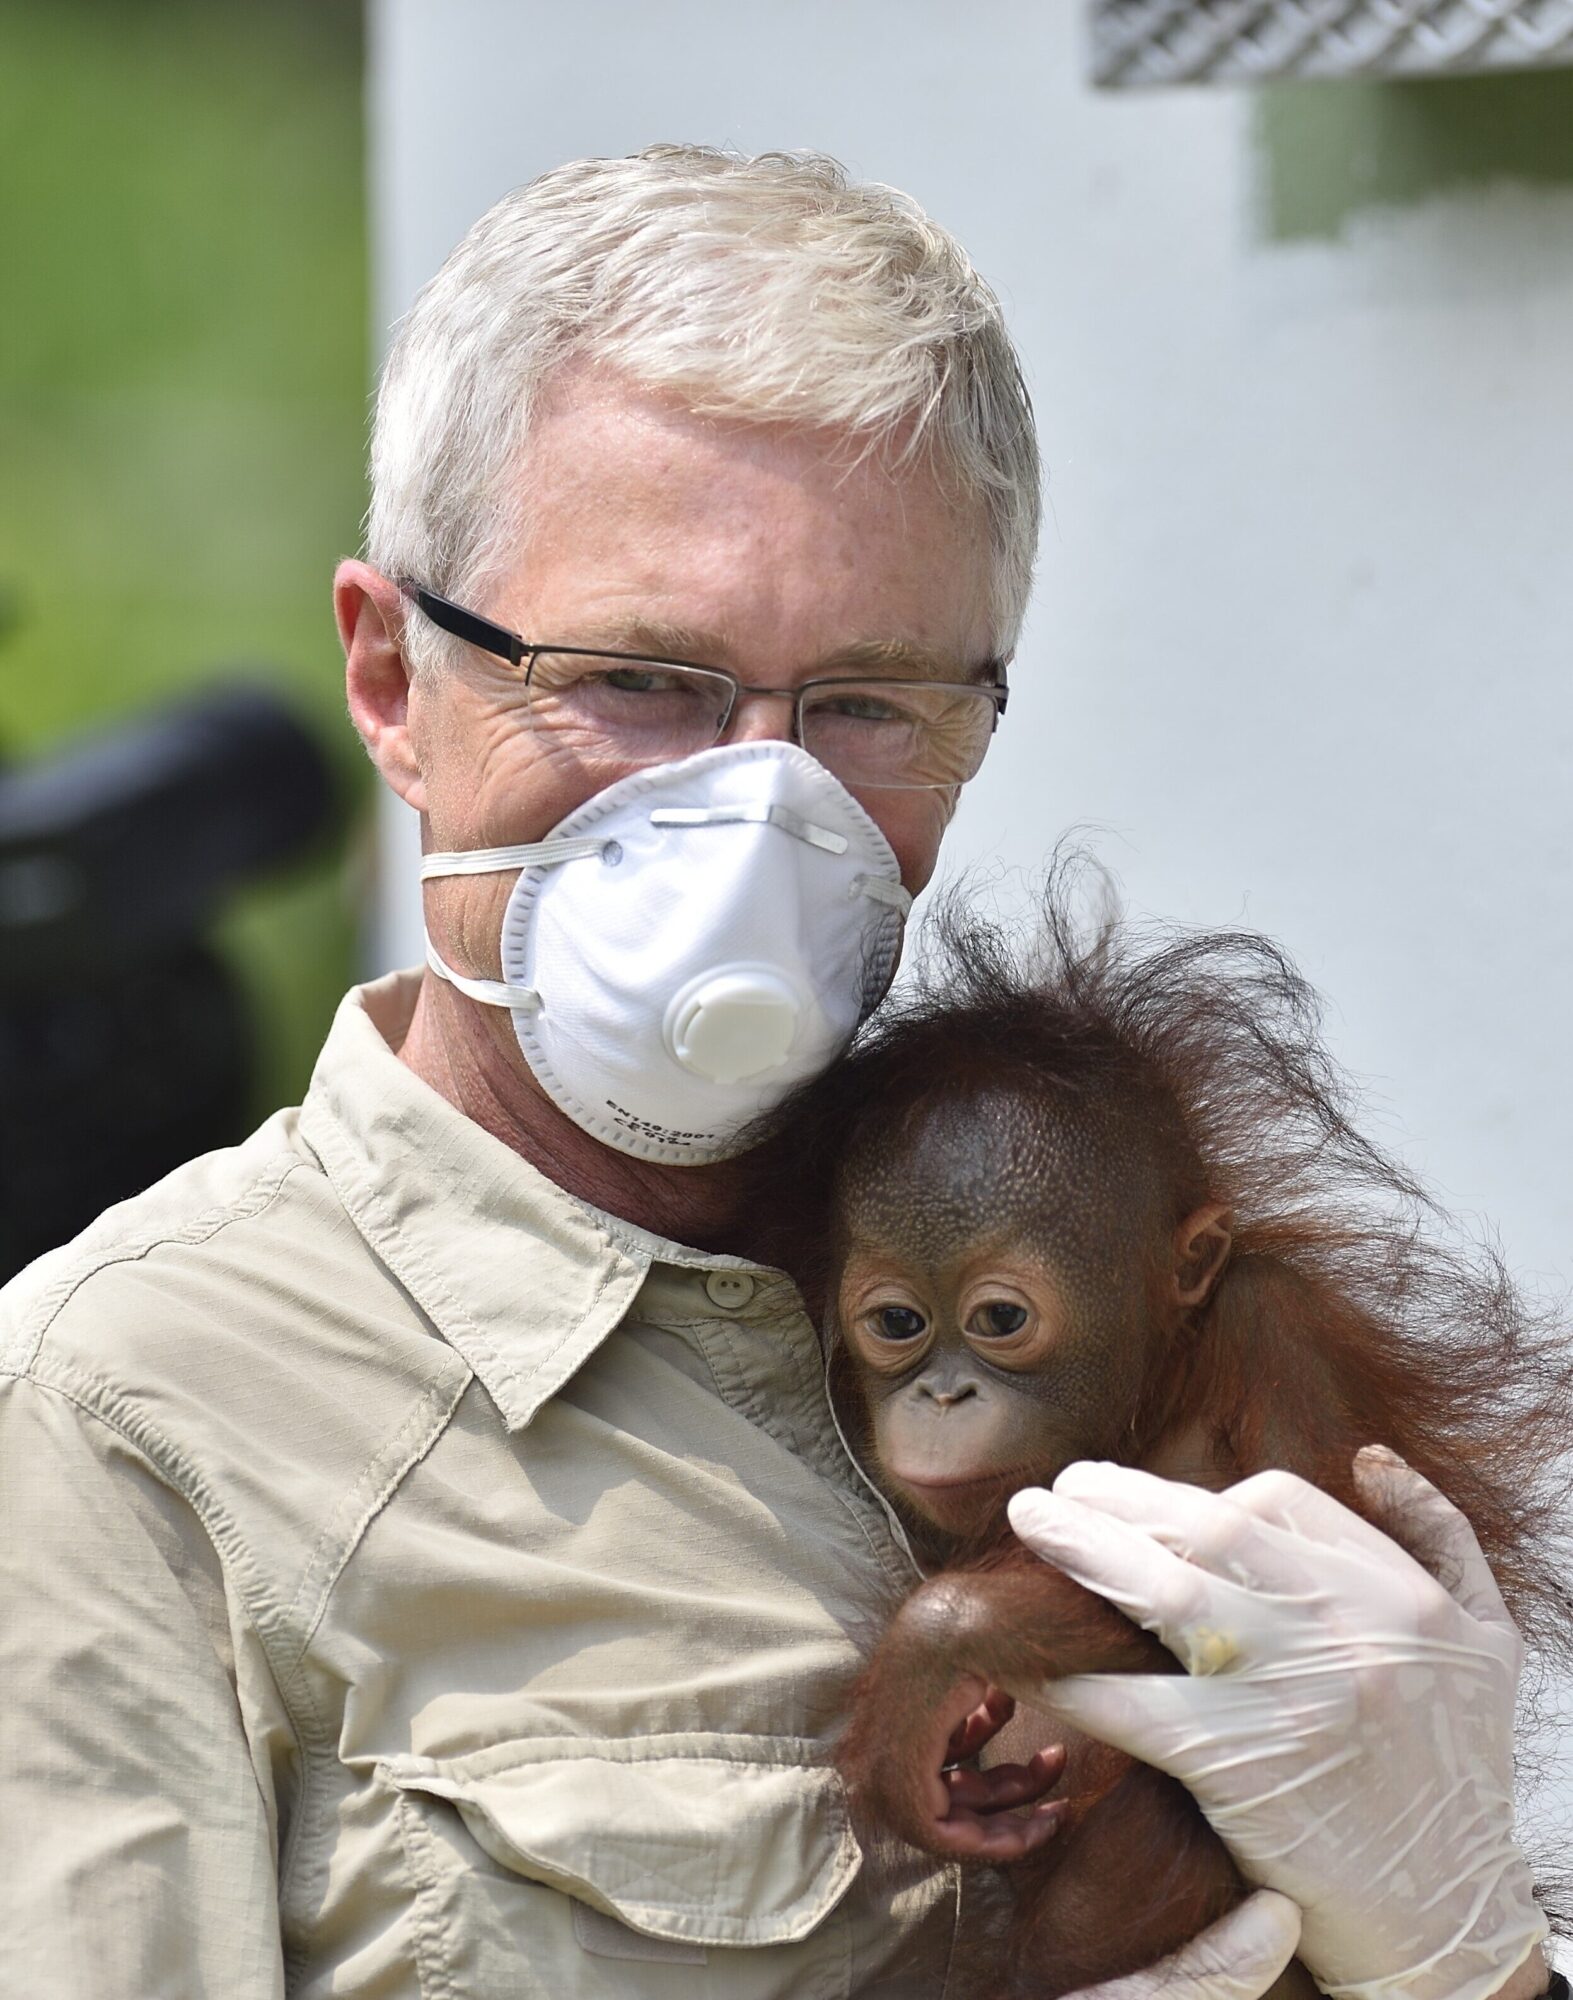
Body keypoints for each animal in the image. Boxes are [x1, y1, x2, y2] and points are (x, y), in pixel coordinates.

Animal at [744, 874, 1573, 1999]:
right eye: (897, 1322)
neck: (1148, 1394)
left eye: (999, 1317)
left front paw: (935, 1645)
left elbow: (1329, 1562)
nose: (944, 1395)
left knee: (1170, 1818)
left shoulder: (1275, 1321)